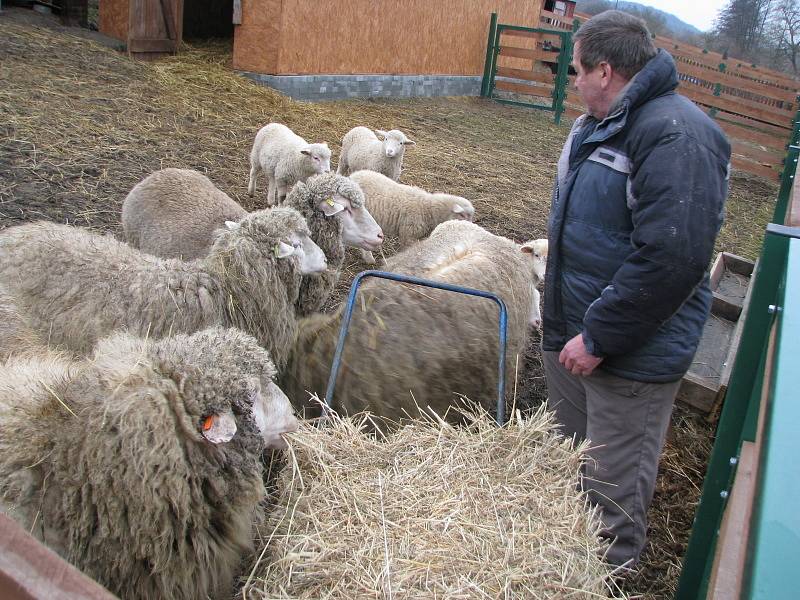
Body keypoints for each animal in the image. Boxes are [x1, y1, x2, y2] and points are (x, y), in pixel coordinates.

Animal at [348, 169, 476, 262]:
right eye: (463, 215)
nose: (470, 228)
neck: (428, 208)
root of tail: (353, 176)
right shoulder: (408, 234)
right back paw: (369, 258)